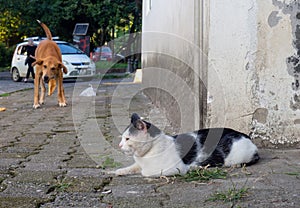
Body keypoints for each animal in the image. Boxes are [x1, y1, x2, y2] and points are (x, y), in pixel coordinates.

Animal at [115, 113, 260, 176]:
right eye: (122, 138)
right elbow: (133, 167)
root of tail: (246, 136)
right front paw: (119, 171)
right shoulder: (138, 164)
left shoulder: (173, 168)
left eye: (127, 139)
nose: (119, 145)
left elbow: (145, 173)